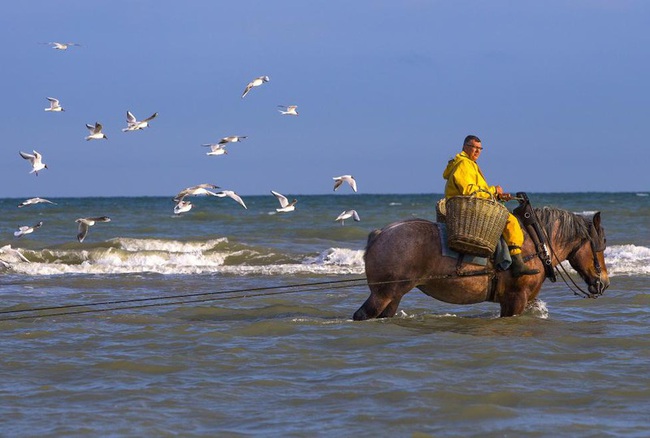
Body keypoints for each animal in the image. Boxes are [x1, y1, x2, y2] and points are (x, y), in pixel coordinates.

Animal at [352, 207, 604, 320]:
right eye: (599, 245)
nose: (603, 283)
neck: (535, 242)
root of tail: (380, 233)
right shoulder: (515, 299)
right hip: (383, 294)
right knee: (362, 315)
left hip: (393, 295)